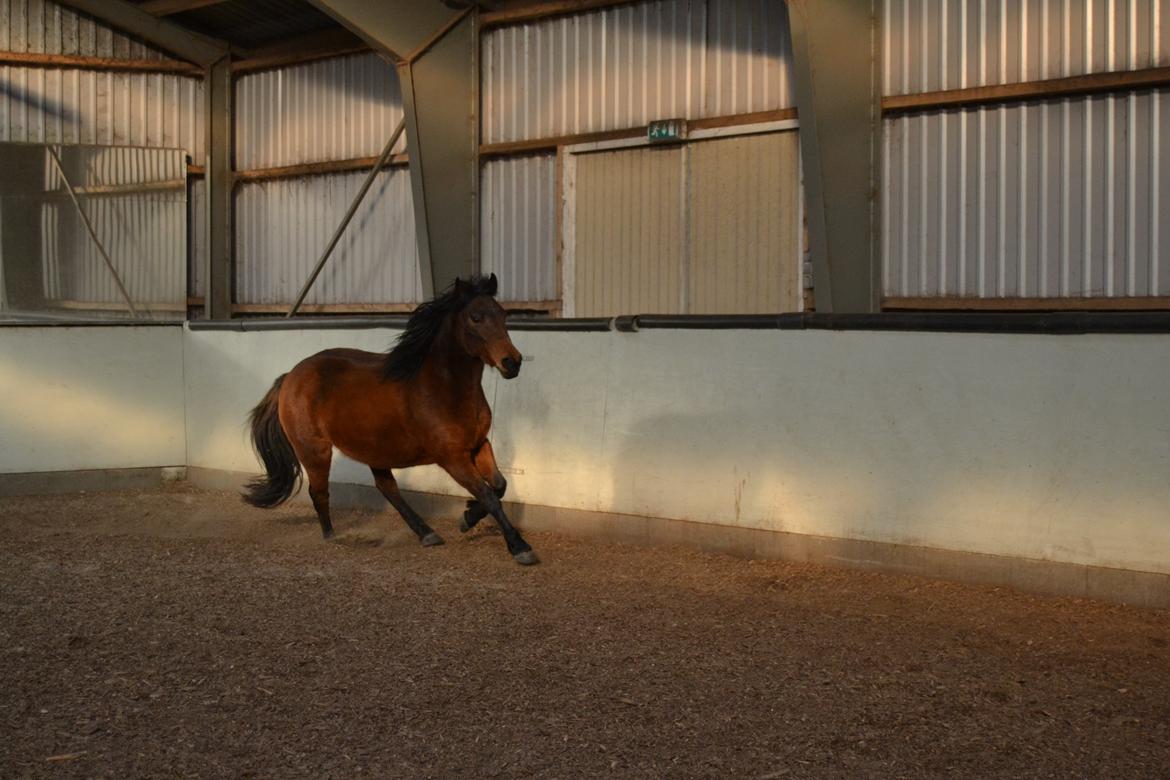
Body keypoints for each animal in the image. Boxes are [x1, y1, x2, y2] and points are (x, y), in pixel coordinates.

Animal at [244, 275, 540, 568]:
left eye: (503, 314)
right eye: (475, 318)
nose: (512, 362)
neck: (444, 388)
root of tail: (290, 377)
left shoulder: (479, 445)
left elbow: (499, 486)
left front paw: (467, 518)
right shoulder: (452, 458)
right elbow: (488, 495)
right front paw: (520, 547)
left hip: (374, 450)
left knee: (388, 488)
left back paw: (427, 534)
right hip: (314, 451)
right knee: (319, 492)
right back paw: (331, 537)